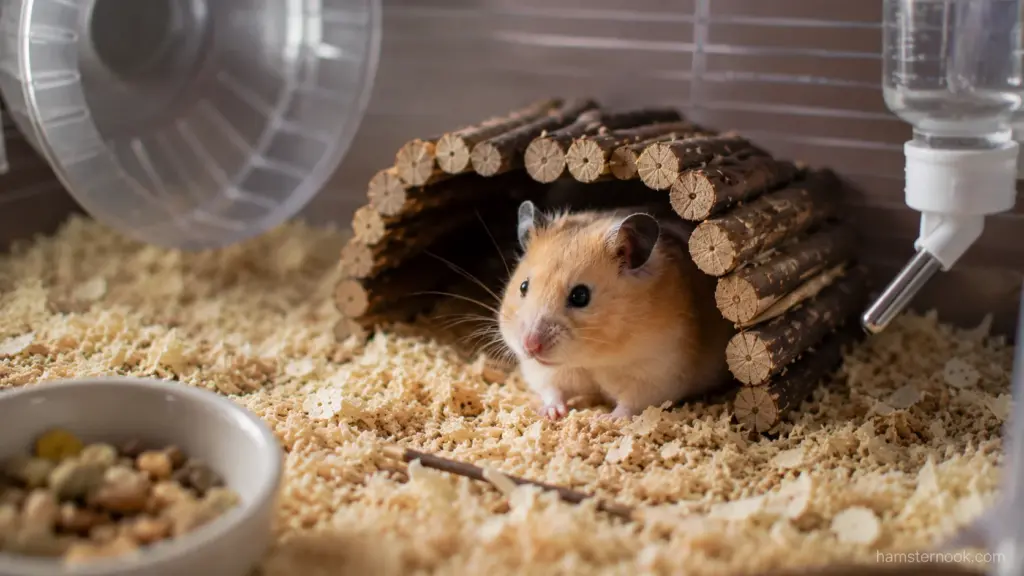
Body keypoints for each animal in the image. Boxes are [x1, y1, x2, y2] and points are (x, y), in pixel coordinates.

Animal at [498, 200, 735, 420]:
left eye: (580, 296)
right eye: (523, 286)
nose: (530, 346)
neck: (594, 358)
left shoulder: (657, 372)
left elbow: (631, 403)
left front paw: (606, 419)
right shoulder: (544, 372)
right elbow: (552, 390)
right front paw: (551, 413)